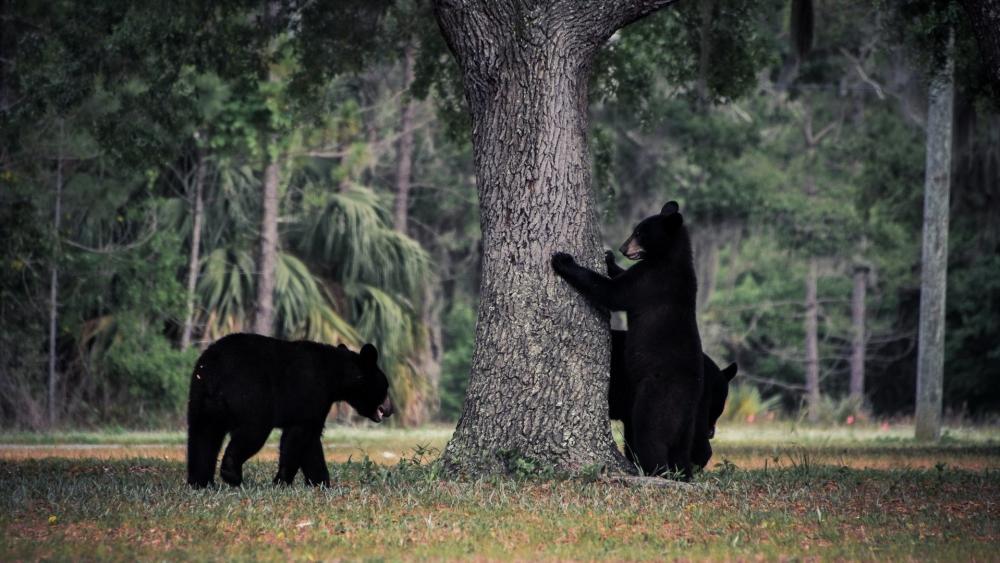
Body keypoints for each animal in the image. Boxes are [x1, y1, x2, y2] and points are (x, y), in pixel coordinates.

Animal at [186, 333, 393, 488]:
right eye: (386, 386)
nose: (389, 409)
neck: (335, 375)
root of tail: (215, 372)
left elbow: (310, 443)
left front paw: (321, 483)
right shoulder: (311, 392)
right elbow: (298, 437)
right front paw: (282, 481)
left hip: (200, 398)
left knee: (202, 436)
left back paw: (200, 482)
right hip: (251, 392)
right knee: (253, 431)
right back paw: (231, 474)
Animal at [552, 201, 703, 479]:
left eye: (640, 233)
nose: (623, 248)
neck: (669, 258)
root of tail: (688, 402)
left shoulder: (650, 280)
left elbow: (612, 292)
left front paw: (564, 260)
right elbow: (620, 278)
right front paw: (609, 258)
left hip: (656, 397)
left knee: (650, 435)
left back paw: (651, 470)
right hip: (688, 424)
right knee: (681, 451)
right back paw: (682, 474)